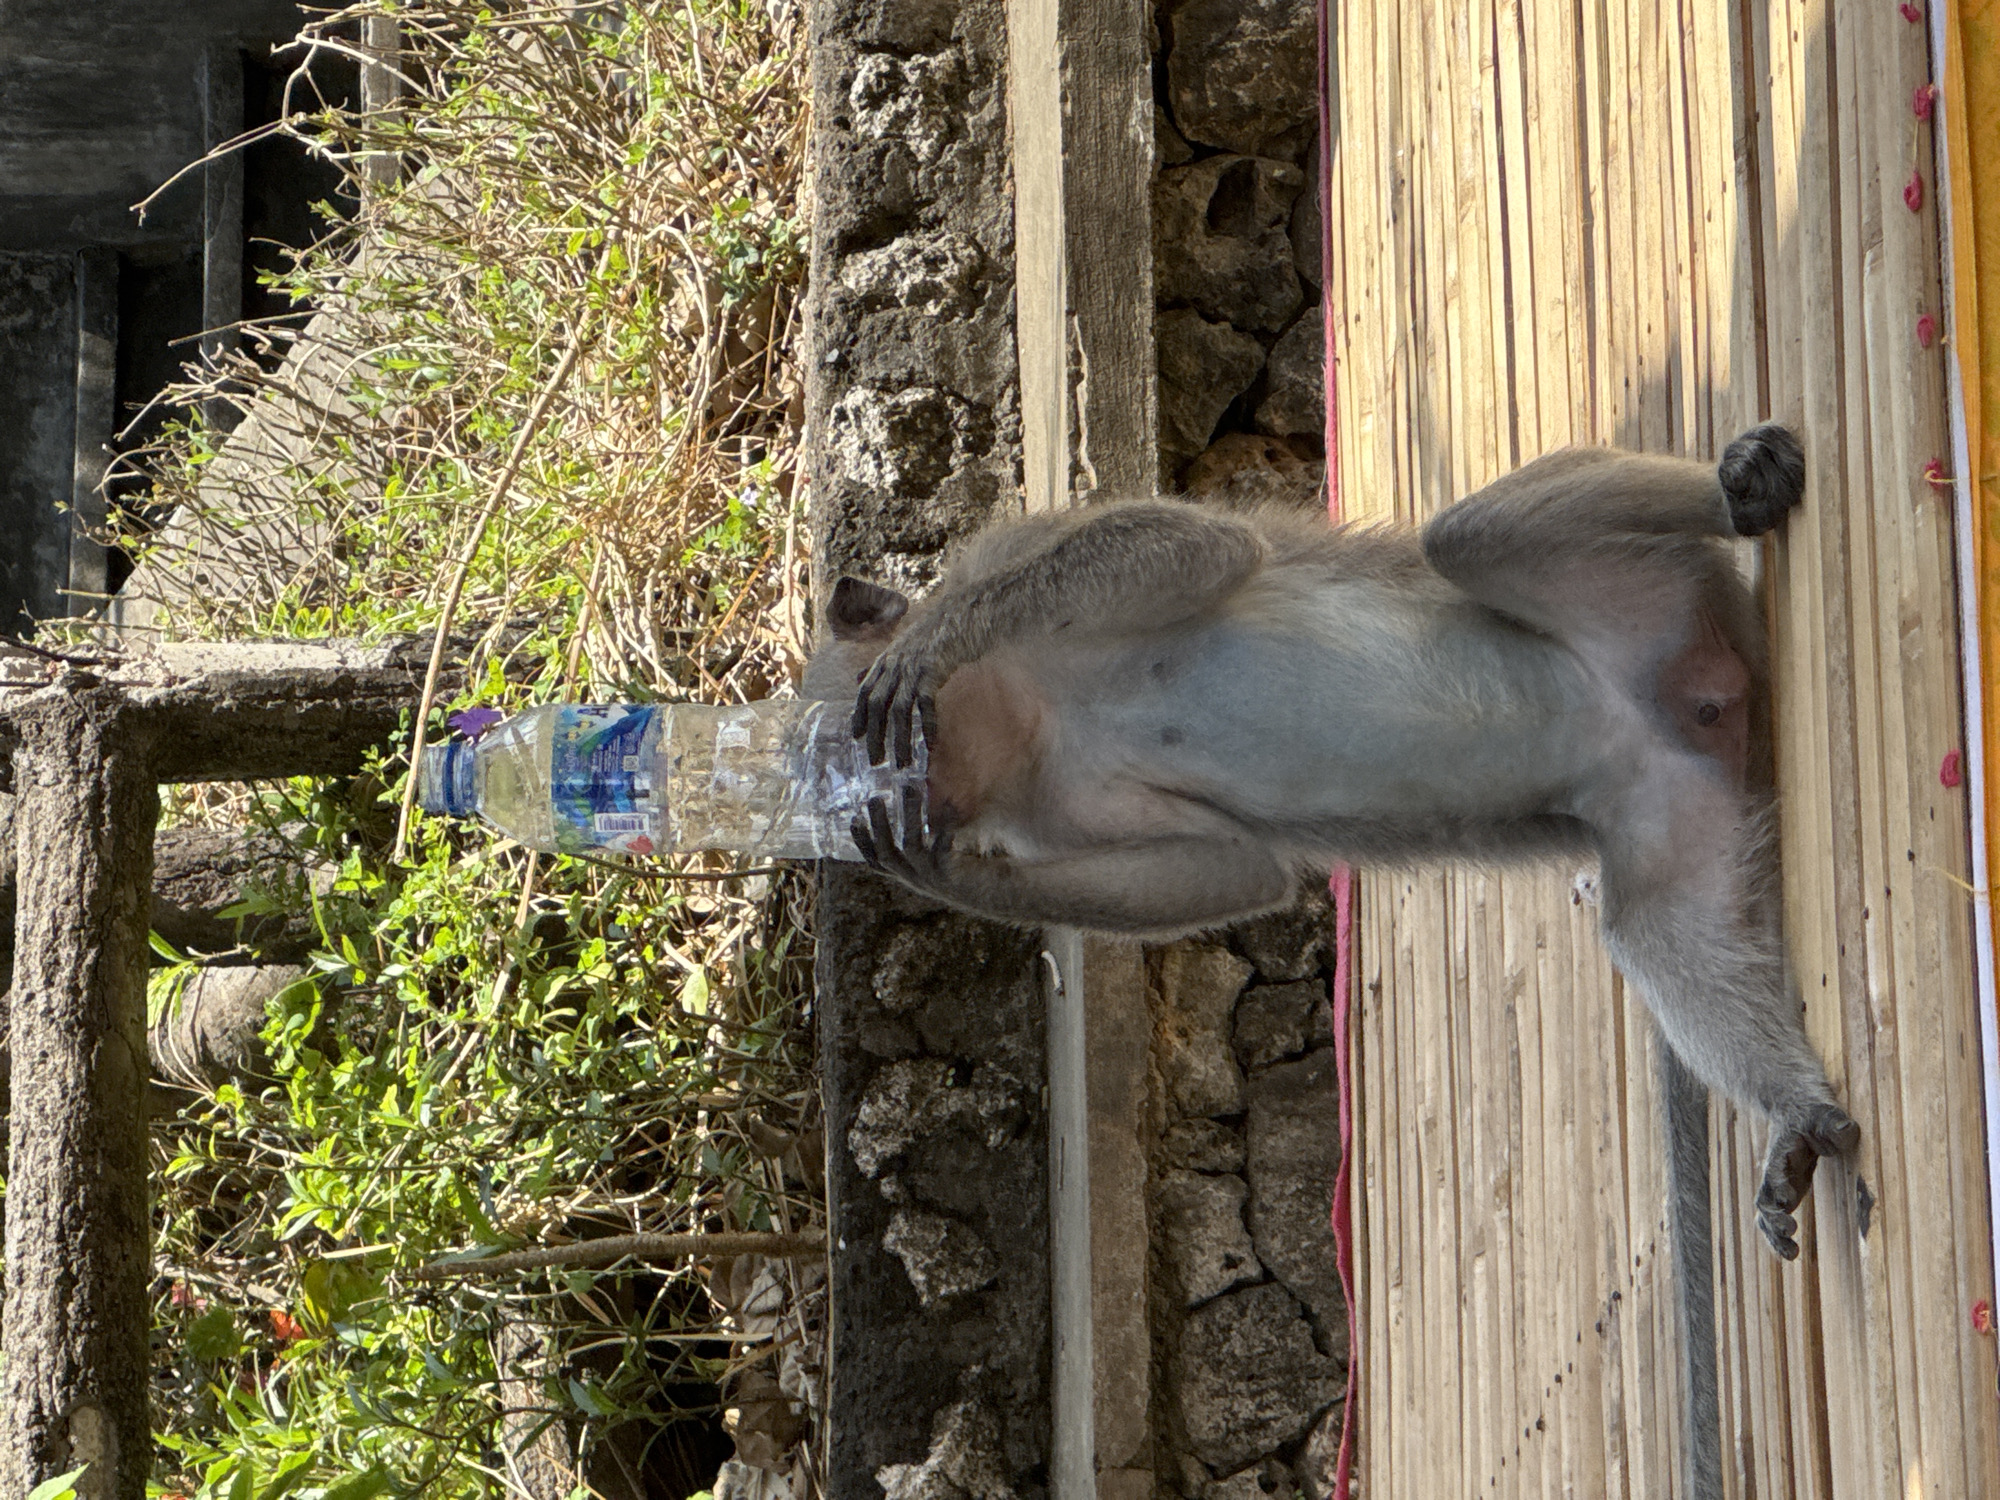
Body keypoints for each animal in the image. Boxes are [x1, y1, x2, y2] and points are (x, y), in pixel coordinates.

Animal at [806, 423, 1858, 1272]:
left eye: (841, 740)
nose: (886, 794)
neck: (1026, 717)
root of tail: (1705, 686)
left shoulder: (1006, 557)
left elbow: (1192, 547)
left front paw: (932, 647)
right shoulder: (1044, 812)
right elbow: (1232, 870)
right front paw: (925, 865)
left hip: (1654, 604)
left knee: (1472, 533)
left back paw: (1738, 487)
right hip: (1669, 793)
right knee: (1655, 925)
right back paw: (1794, 1114)